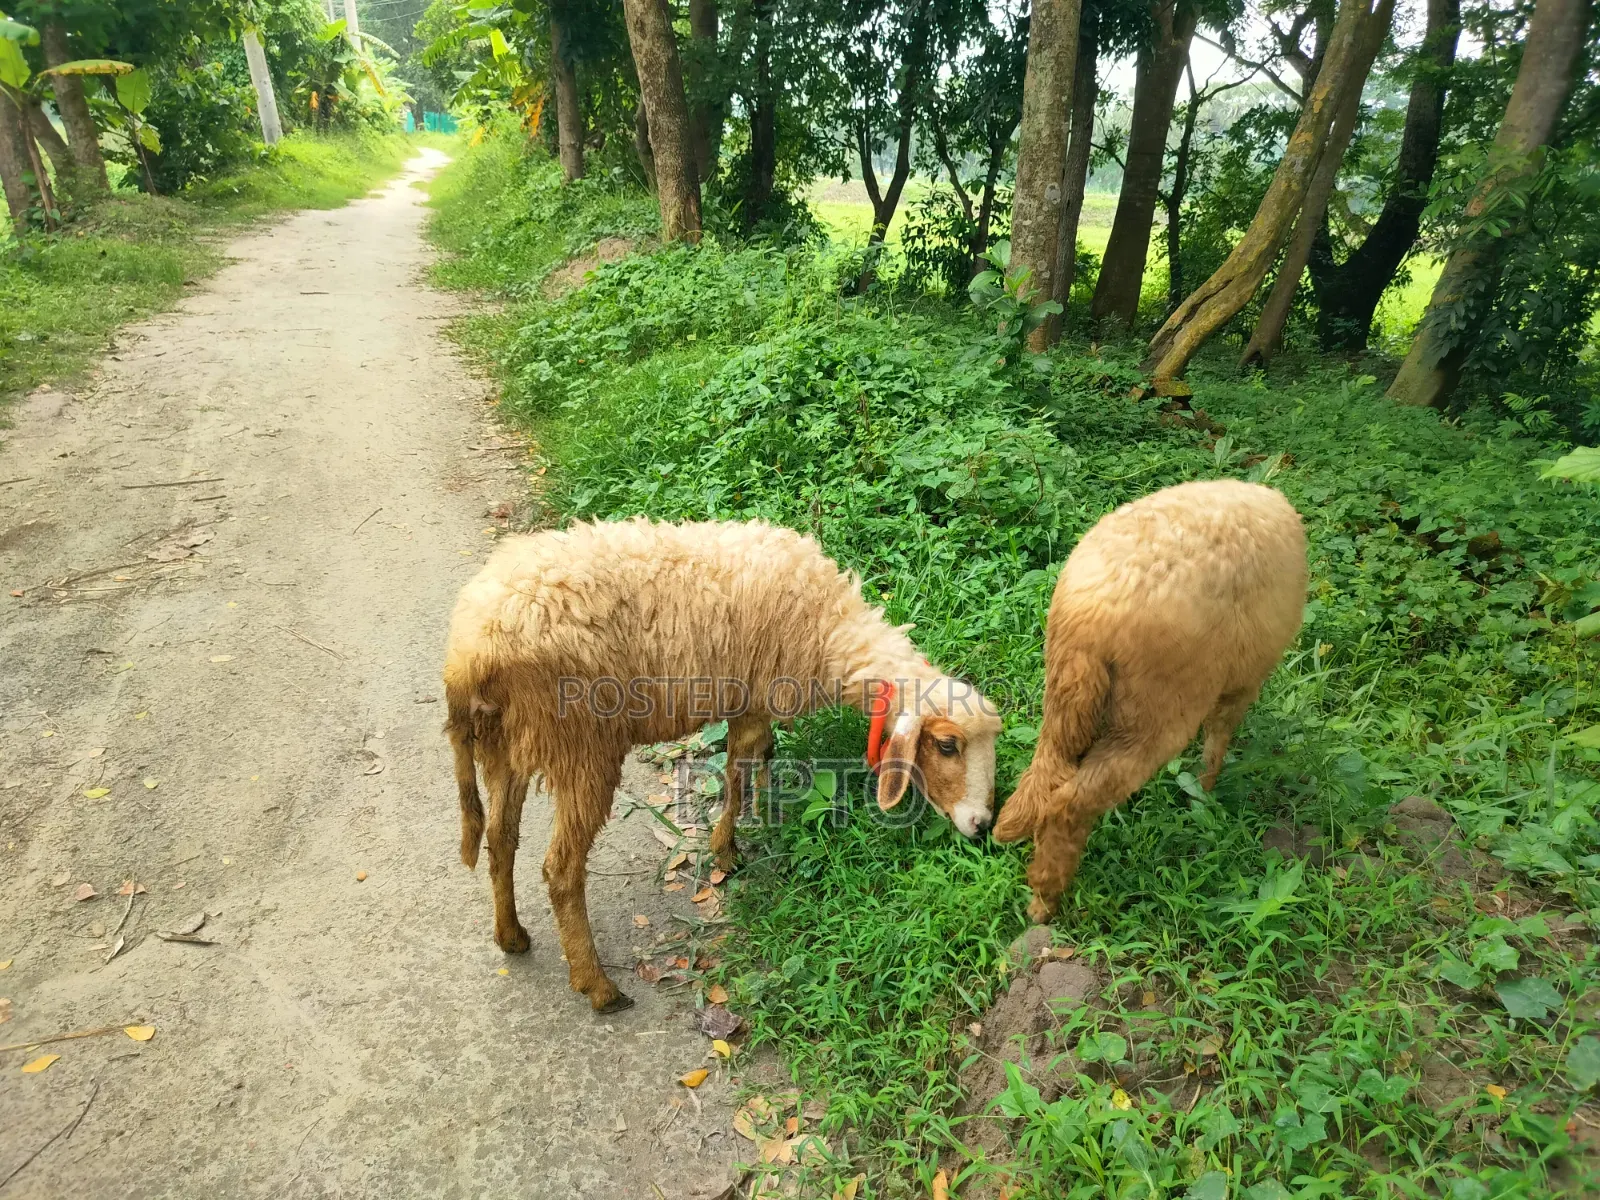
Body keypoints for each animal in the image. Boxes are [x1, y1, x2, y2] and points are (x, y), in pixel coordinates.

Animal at [444, 516, 1002, 1012]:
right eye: (947, 746)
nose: (982, 825)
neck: (831, 631)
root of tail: (470, 652)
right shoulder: (753, 698)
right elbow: (737, 769)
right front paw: (726, 849)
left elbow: (762, 755)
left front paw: (759, 816)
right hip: (580, 745)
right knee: (560, 870)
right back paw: (597, 986)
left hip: (506, 747)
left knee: (500, 839)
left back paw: (511, 935)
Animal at [992, 479, 1308, 924]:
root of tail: (1088, 620)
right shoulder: (1244, 680)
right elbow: (1218, 739)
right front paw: (1206, 794)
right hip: (1154, 713)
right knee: (1071, 802)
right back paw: (1046, 898)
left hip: (1066, 700)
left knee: (1045, 777)